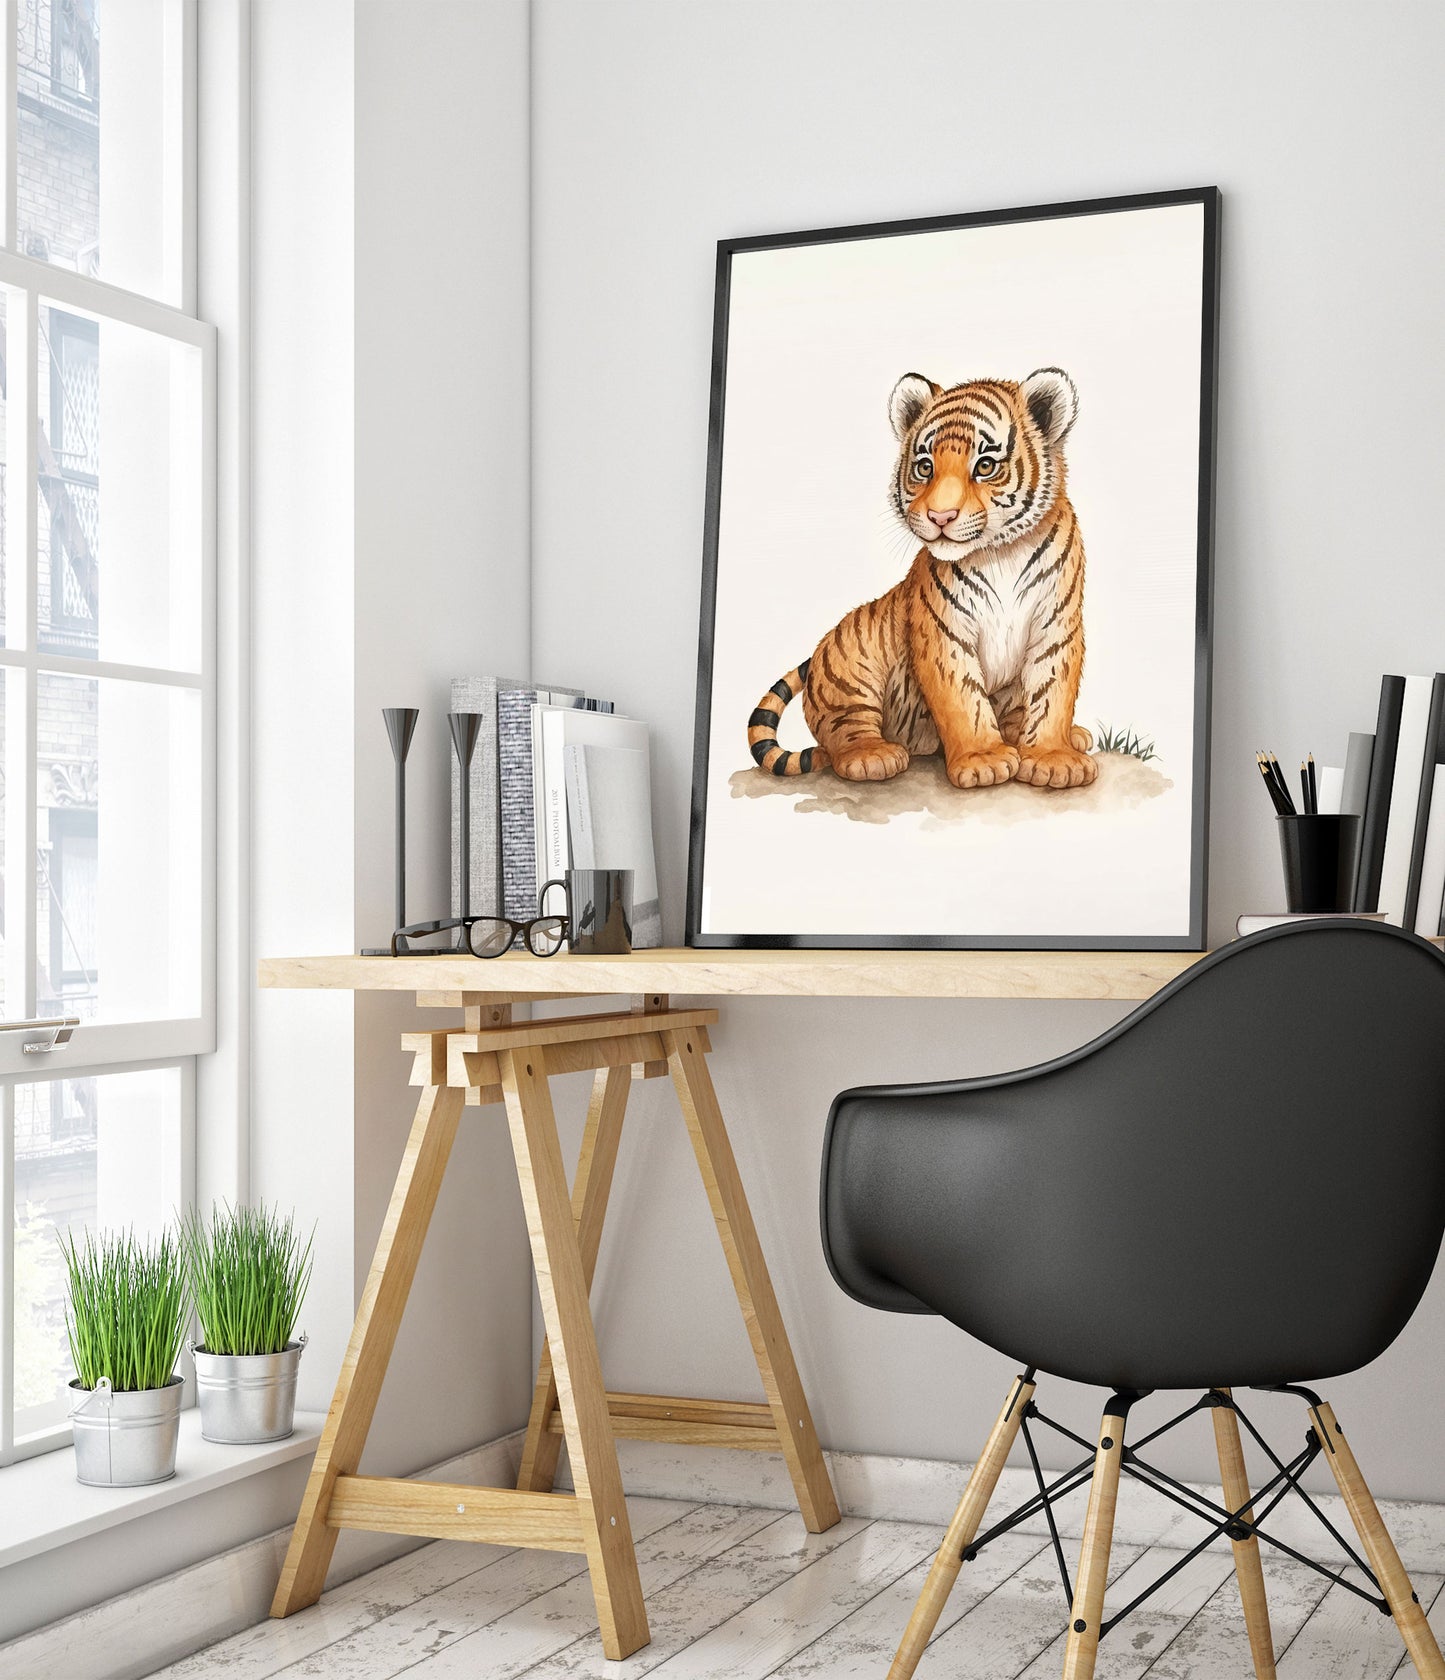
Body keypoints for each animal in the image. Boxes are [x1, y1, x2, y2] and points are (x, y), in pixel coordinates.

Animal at [747, 367, 1096, 791]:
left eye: (985, 465)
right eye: (925, 467)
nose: (939, 516)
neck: (1000, 553)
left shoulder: (1056, 622)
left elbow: (1052, 693)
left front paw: (1054, 757)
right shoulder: (943, 630)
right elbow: (963, 699)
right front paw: (983, 760)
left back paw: (1067, 735)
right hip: (850, 669)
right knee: (842, 732)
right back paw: (873, 756)